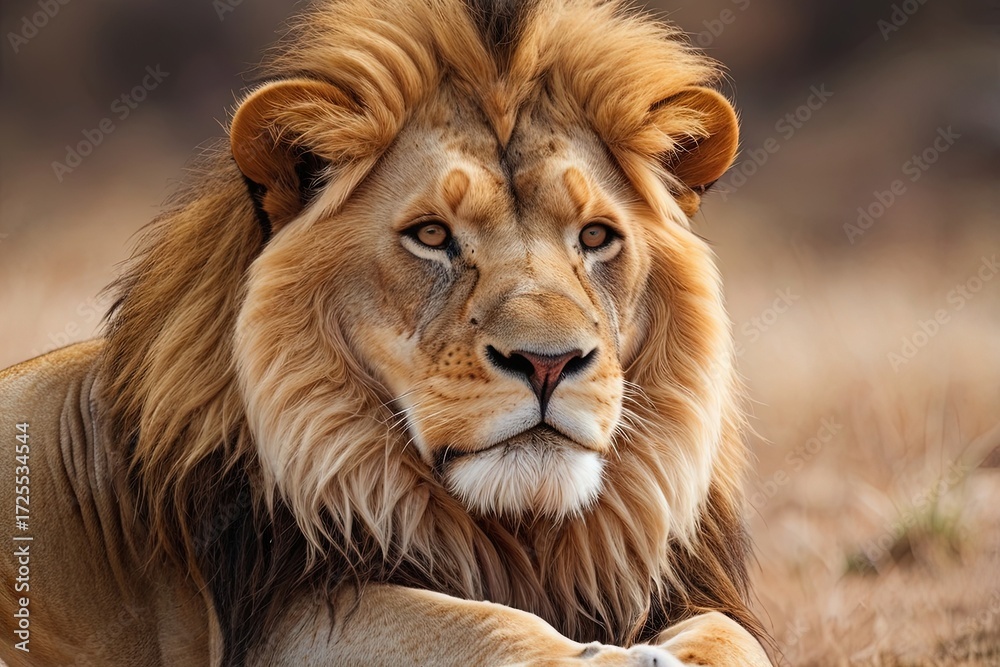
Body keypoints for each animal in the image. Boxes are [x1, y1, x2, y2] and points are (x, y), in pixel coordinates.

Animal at [0, 0, 772, 665]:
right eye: (431, 236)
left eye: (595, 237)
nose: (549, 362)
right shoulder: (283, 619)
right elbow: (475, 625)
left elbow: (732, 636)